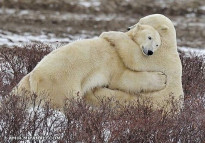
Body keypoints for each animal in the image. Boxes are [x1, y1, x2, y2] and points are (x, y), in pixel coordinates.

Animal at [14, 23, 167, 108]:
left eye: (157, 44)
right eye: (149, 37)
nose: (150, 52)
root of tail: (35, 76)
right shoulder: (114, 59)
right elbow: (122, 79)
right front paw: (162, 78)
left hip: (26, 84)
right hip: (60, 84)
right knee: (62, 101)